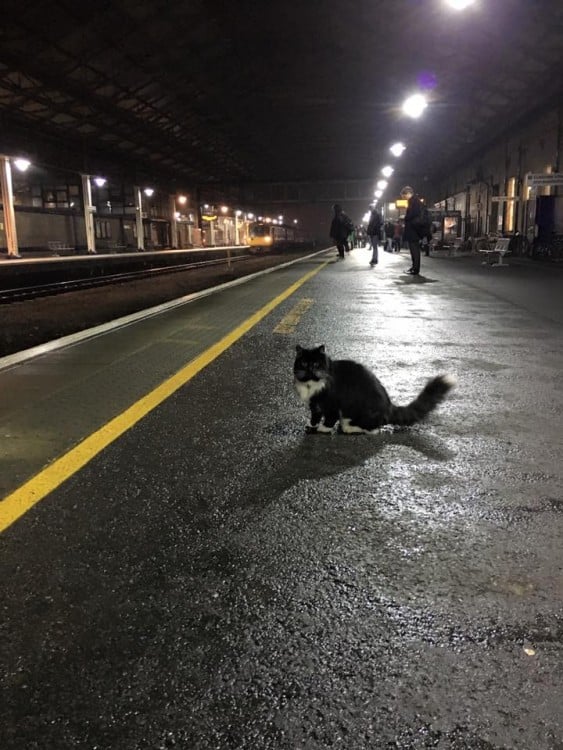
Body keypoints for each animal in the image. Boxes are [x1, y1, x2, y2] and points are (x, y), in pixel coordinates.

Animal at [294, 346, 456, 434]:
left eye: (316, 364)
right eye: (304, 363)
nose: (310, 369)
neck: (311, 384)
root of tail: (389, 407)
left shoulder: (332, 405)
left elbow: (329, 419)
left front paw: (323, 429)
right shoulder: (315, 404)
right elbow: (315, 416)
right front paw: (311, 426)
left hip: (357, 413)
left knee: (372, 429)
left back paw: (348, 428)